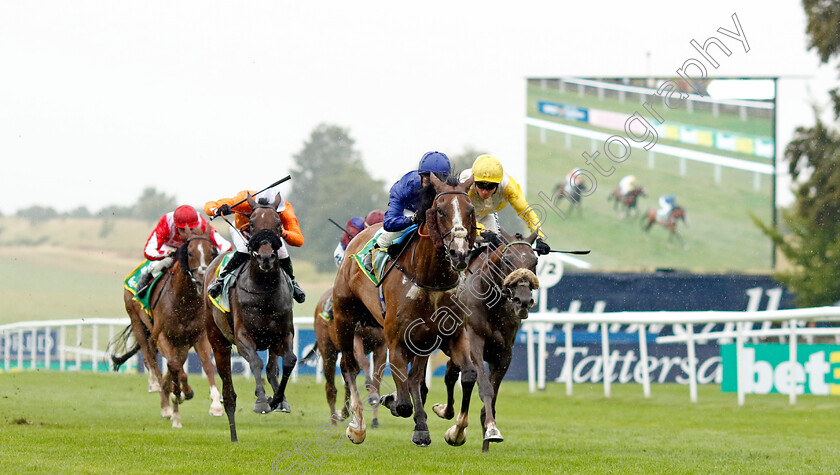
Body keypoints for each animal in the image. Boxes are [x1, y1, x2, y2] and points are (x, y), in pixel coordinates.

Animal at [116, 229, 226, 430]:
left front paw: (215, 404)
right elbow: (174, 366)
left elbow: (206, 365)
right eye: (189, 253)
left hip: (179, 342)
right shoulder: (162, 336)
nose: (202, 281)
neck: (184, 301)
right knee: (151, 360)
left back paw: (174, 408)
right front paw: (182, 392)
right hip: (138, 323)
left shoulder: (198, 336)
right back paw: (161, 395)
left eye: (212, 253)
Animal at [203, 192, 296, 442]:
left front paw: (276, 399)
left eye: (278, 224)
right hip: (218, 341)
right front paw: (262, 401)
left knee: (273, 368)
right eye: (252, 224)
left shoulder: (284, 333)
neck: (264, 289)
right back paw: (234, 434)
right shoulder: (243, 336)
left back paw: (280, 399)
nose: (266, 257)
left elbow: (289, 361)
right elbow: (255, 362)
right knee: (229, 391)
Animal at [304, 288, 388, 430]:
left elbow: (377, 379)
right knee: (330, 387)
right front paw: (369, 389)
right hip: (328, 351)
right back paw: (334, 420)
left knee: (349, 376)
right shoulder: (356, 337)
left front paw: (375, 418)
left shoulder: (381, 345)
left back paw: (344, 412)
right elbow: (364, 362)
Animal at [334, 174, 480, 446]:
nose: (459, 253)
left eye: (471, 211)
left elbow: (467, 376)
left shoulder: (451, 334)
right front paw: (388, 399)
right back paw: (357, 426)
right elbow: (402, 404)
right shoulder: (395, 341)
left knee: (415, 379)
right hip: (345, 317)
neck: (429, 279)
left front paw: (455, 432)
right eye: (440, 210)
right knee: (348, 365)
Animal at [434, 231, 540, 454]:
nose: (523, 301)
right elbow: (484, 387)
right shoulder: (474, 343)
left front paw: (487, 441)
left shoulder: (504, 353)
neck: (493, 306)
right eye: (507, 259)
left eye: (534, 261)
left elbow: (491, 394)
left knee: (450, 374)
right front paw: (488, 429)